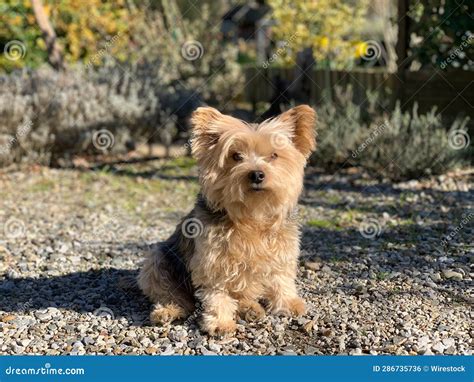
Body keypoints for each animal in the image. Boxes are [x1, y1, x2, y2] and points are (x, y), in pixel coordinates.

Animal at [139, 104, 316, 334]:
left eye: (274, 155)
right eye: (236, 156)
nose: (257, 174)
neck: (252, 214)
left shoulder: (282, 249)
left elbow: (281, 278)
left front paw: (288, 303)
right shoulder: (213, 261)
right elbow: (218, 293)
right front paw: (220, 322)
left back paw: (250, 308)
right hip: (157, 260)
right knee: (173, 294)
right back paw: (168, 311)